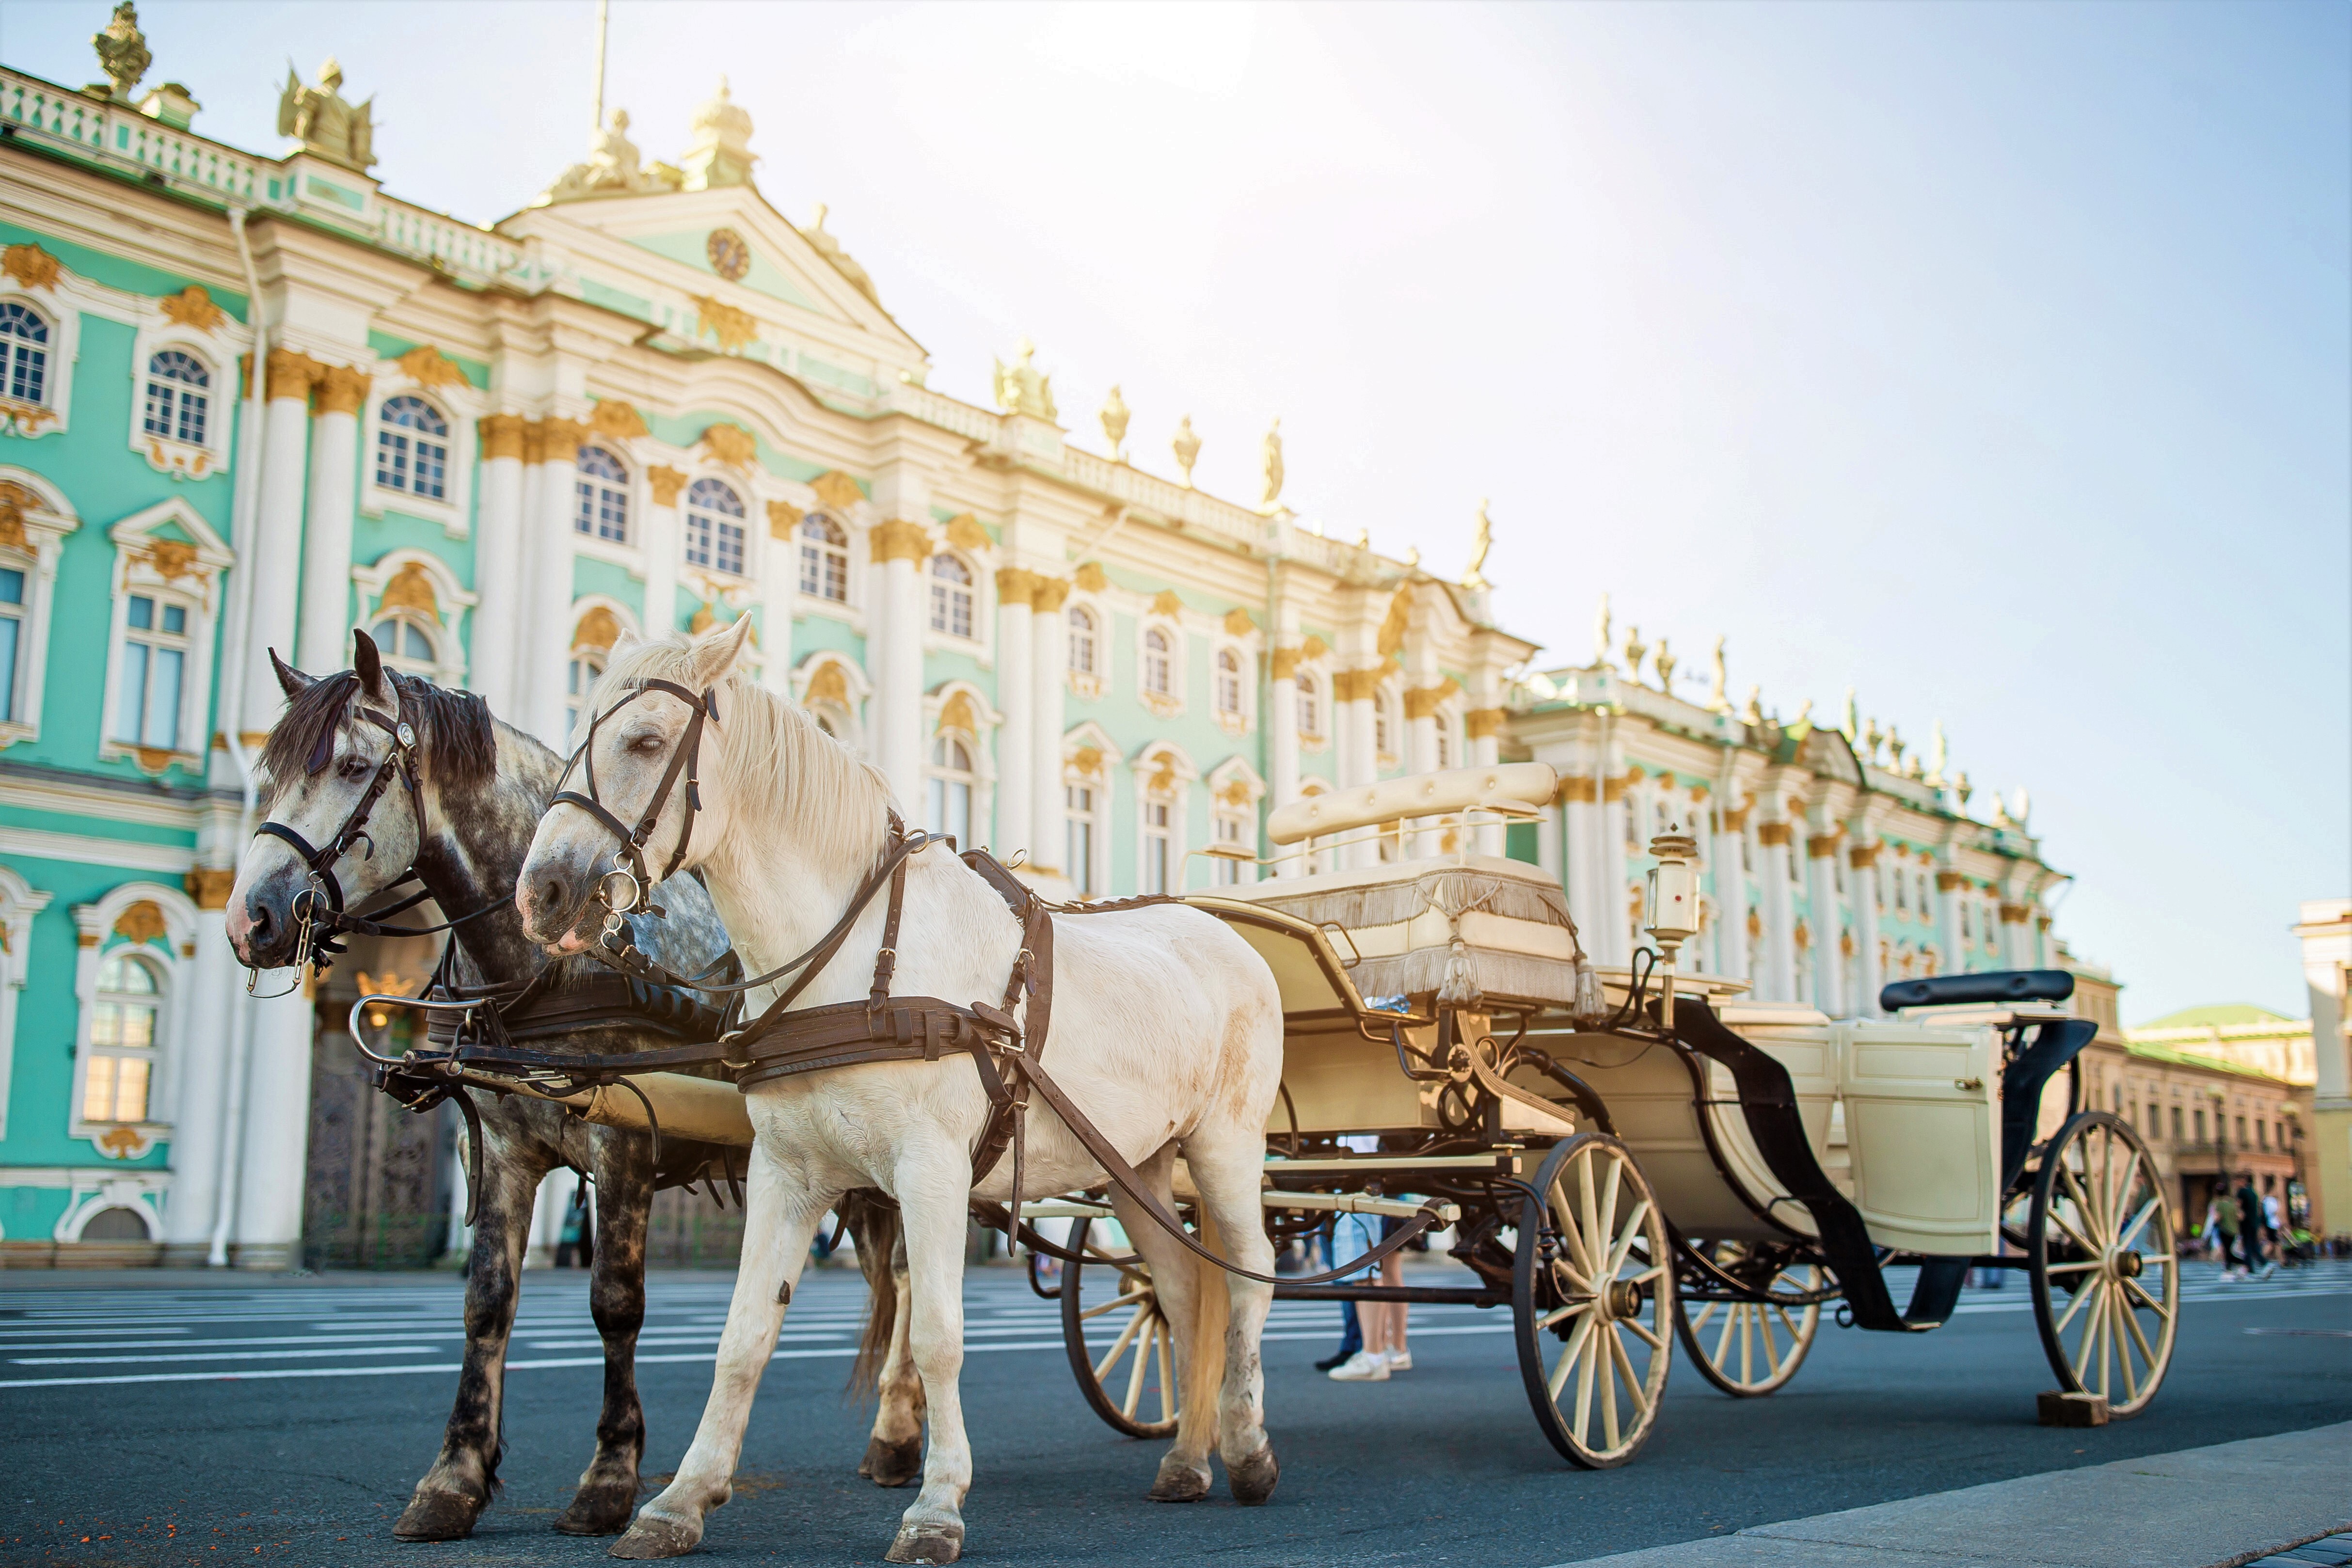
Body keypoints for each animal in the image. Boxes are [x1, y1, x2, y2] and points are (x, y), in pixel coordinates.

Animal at [517, 620, 1288, 1561]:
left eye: (646, 741)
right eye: (577, 729)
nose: (542, 891)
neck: (851, 962)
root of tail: (1229, 933)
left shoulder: (932, 1171)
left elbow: (936, 1337)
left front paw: (935, 1504)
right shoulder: (786, 1173)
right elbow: (743, 1337)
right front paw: (680, 1501)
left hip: (1226, 1147)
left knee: (1250, 1275)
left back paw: (1246, 1447)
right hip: (1135, 1165)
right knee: (1178, 1287)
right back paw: (1184, 1459)